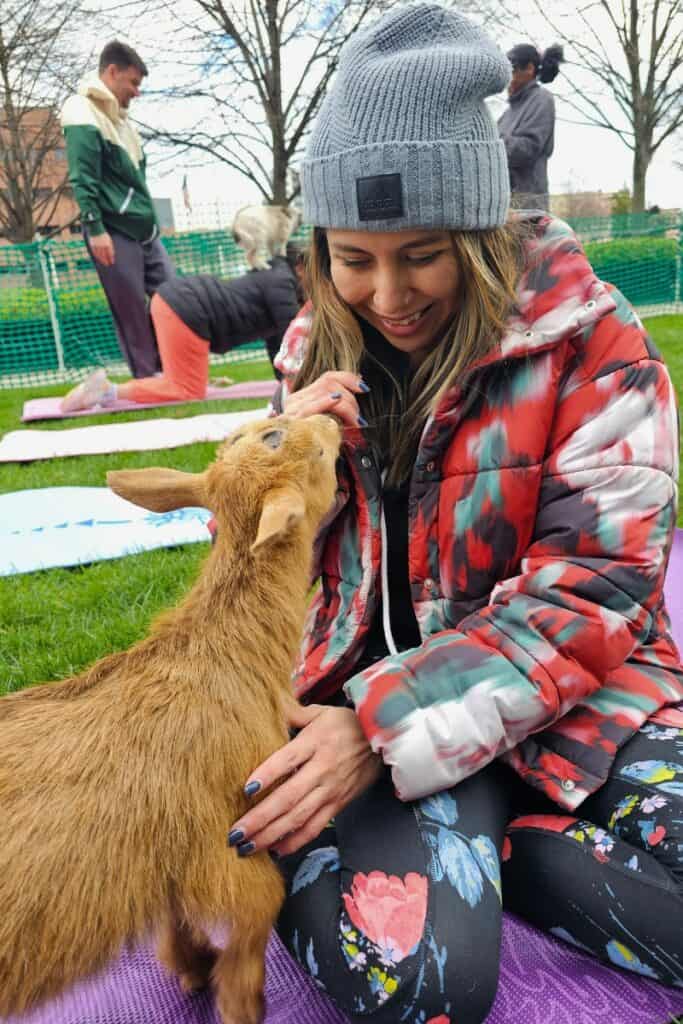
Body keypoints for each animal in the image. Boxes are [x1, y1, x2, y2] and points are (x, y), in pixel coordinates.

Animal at [0, 413, 342, 1024]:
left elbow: (173, 913)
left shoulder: (171, 857)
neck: (219, 657)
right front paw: (238, 1001)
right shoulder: (225, 839)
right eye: (316, 454)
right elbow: (258, 914)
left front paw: (192, 966)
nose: (331, 415)